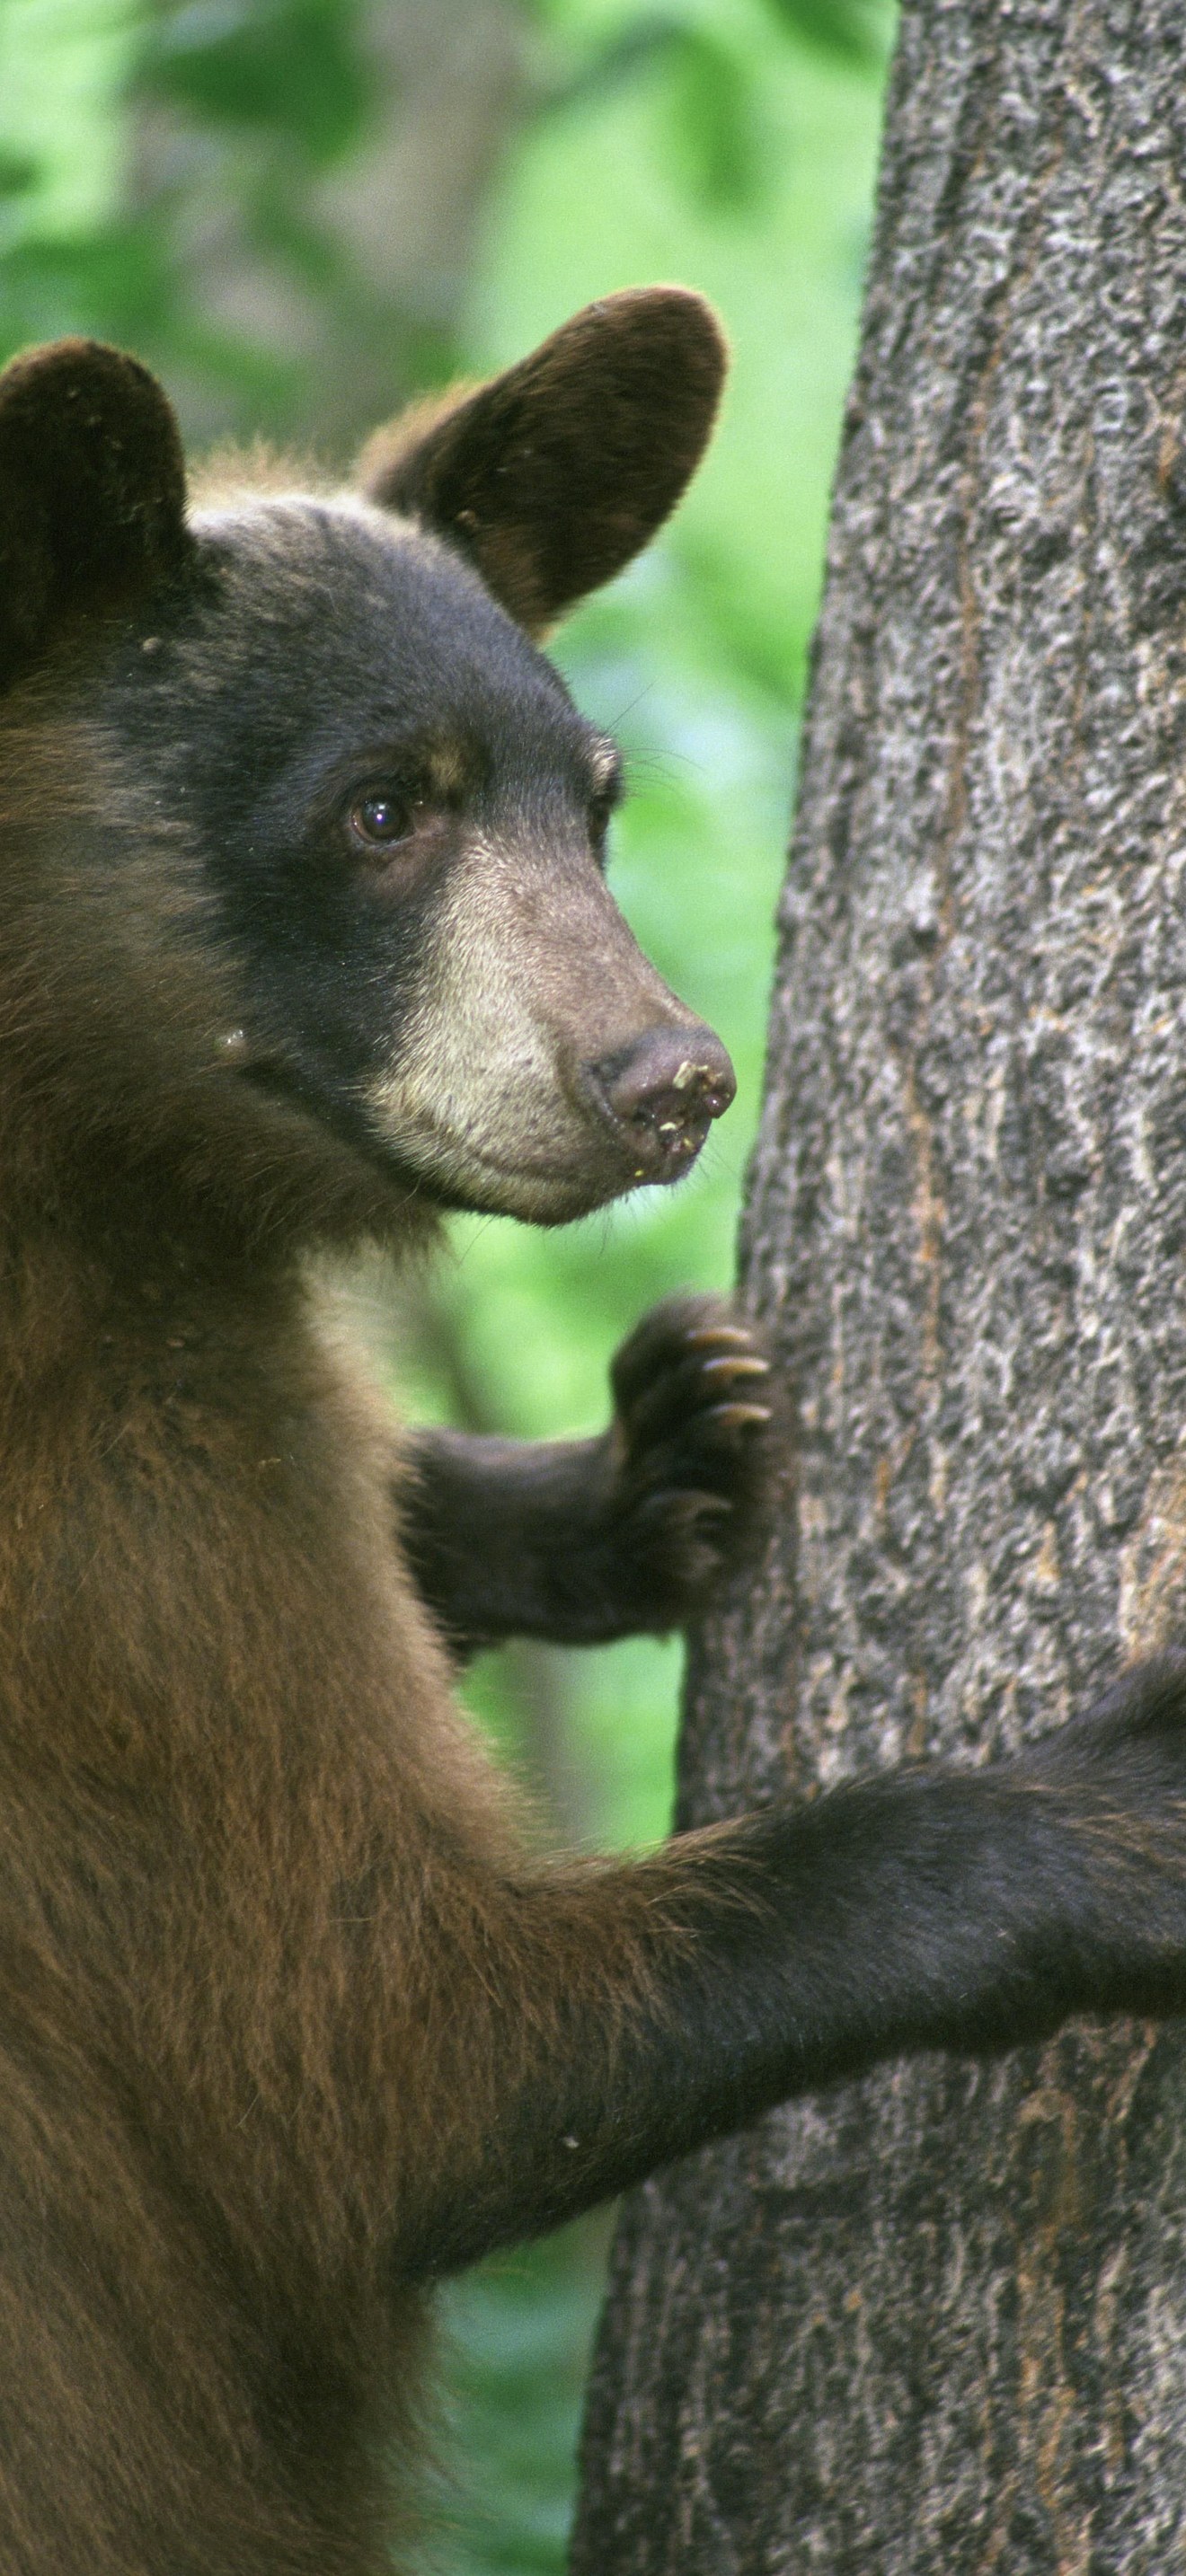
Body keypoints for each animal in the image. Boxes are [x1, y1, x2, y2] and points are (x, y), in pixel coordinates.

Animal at [1, 289, 1186, 2572]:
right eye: (384, 808)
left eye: (596, 794)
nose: (671, 1078)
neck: (89, 1177)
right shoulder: (81, 1541)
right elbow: (369, 2056)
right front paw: (1113, 1814)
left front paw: (642, 1466)